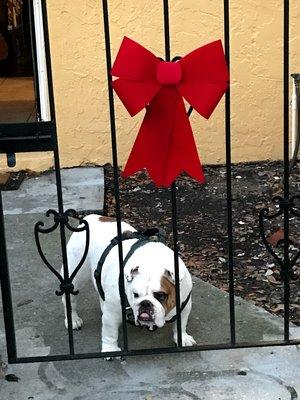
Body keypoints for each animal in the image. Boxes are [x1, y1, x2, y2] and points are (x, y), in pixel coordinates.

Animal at [62, 214, 196, 352]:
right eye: (135, 295)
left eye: (160, 295)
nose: (145, 303)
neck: (152, 264)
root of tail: (92, 217)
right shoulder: (112, 314)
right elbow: (110, 333)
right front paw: (110, 349)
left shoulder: (185, 305)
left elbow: (181, 324)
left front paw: (182, 338)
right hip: (74, 276)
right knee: (69, 300)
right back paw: (73, 319)